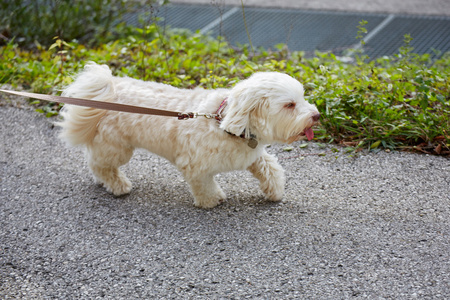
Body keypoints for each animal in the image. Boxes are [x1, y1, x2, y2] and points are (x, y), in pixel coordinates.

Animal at [57, 62, 320, 209]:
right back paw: (117, 185)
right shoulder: (196, 166)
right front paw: (211, 201)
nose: (317, 115)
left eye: (303, 97)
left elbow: (270, 168)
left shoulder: (252, 154)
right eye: (289, 105)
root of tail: (107, 92)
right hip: (117, 147)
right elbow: (203, 185)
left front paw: (274, 190)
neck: (223, 122)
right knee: (100, 164)